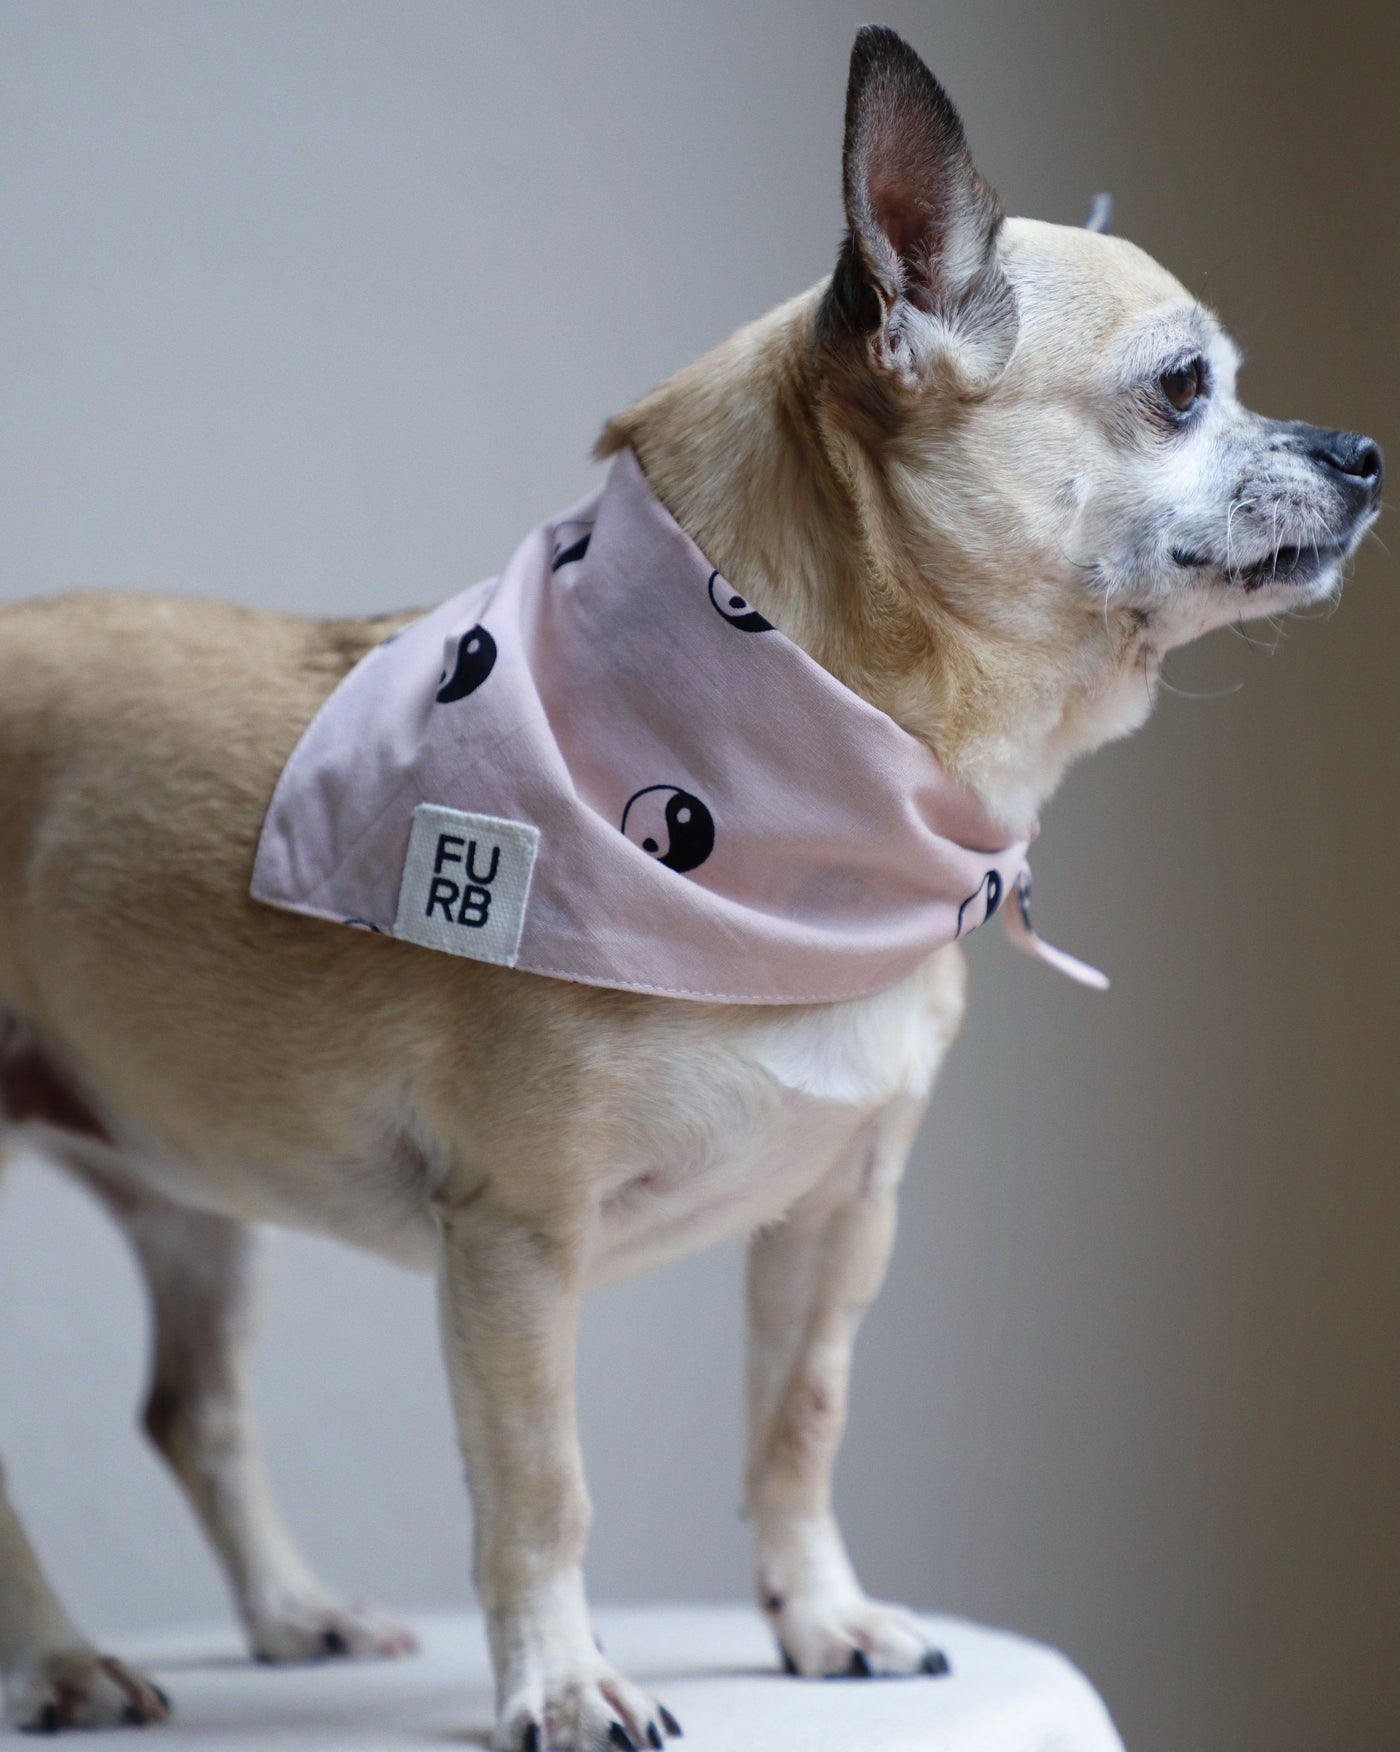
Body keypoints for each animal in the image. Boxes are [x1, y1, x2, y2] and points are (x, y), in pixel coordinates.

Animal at [0, 27, 1380, 1752]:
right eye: (1185, 390)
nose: (1363, 454)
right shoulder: (518, 1242)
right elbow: (542, 1489)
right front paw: (564, 1681)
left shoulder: (838, 1220)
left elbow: (798, 1426)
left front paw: (822, 1621)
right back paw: (62, 1658)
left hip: (194, 1197)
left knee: (194, 1410)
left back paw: (290, 1614)